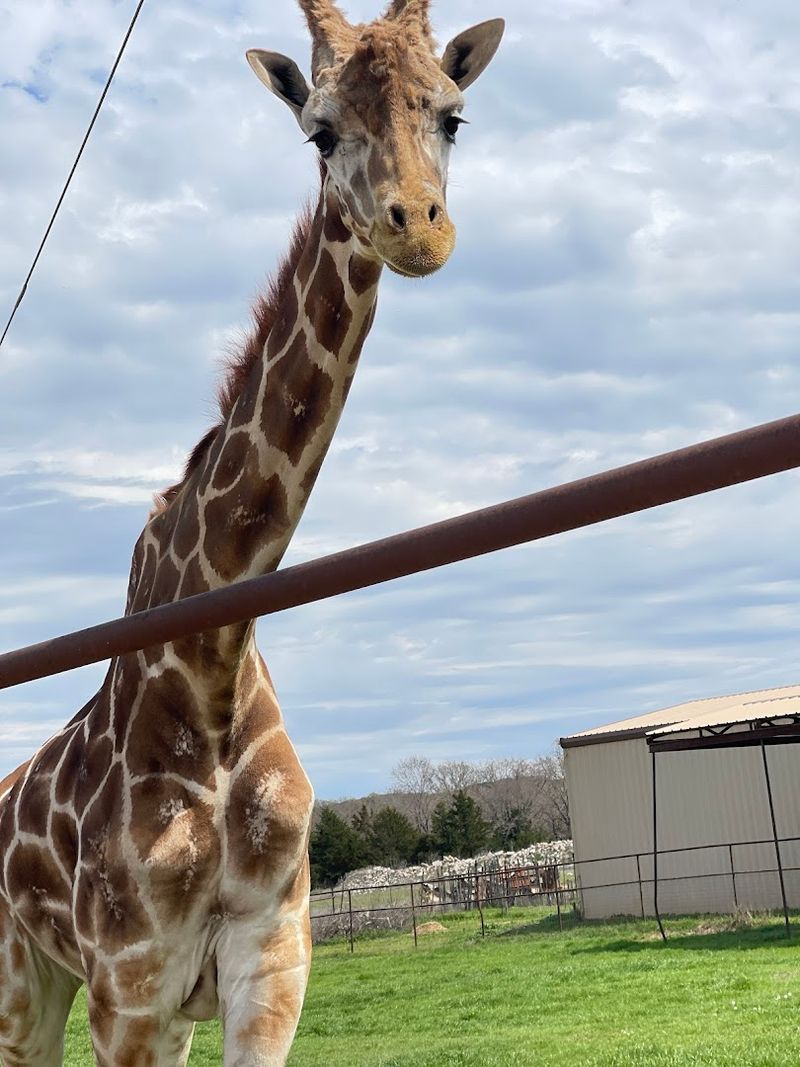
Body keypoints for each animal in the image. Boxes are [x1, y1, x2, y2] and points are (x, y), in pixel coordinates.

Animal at [0, 1, 504, 1063]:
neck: (212, 658)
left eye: (452, 113)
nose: (418, 227)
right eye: (318, 131)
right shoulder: (129, 988)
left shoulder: (272, 964)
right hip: (24, 977)